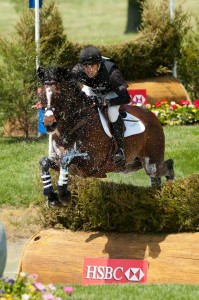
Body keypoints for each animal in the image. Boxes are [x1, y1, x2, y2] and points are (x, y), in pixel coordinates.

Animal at [37, 65, 174, 206]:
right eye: (41, 94)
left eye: (59, 94)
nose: (49, 124)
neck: (72, 125)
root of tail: (152, 116)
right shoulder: (58, 160)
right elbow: (44, 162)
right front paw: (51, 196)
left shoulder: (92, 163)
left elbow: (67, 160)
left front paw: (63, 194)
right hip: (131, 165)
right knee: (155, 177)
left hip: (151, 162)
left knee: (165, 167)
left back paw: (171, 186)